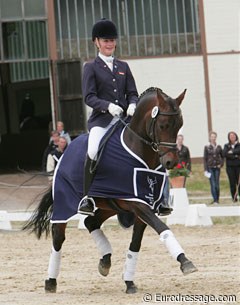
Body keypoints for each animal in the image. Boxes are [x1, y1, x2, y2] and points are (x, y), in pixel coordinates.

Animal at [23, 87, 197, 292]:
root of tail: (67, 149)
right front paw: (185, 262)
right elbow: (163, 228)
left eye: (179, 125)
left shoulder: (144, 205)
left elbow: (136, 244)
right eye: (163, 125)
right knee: (58, 238)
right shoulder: (137, 204)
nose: (171, 162)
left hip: (110, 205)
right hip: (65, 204)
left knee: (90, 222)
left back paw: (105, 261)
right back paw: (50, 282)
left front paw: (129, 282)